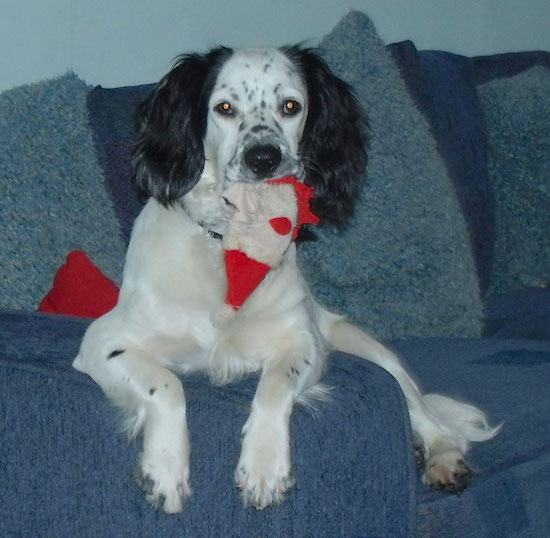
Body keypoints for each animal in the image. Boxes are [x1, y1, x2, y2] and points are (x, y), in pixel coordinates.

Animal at [72, 46, 500, 510]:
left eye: (290, 106)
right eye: (224, 108)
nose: (264, 157)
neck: (228, 250)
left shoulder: (302, 341)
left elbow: (276, 384)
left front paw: (263, 465)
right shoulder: (103, 343)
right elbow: (166, 385)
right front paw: (165, 467)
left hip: (371, 352)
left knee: (420, 407)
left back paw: (441, 454)